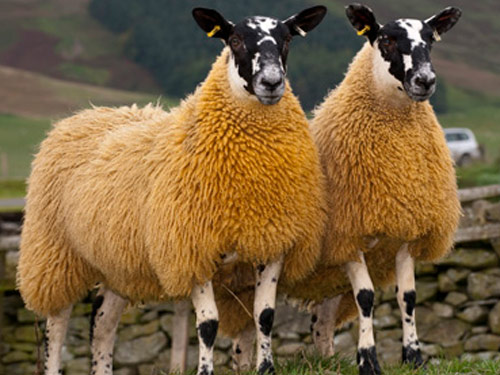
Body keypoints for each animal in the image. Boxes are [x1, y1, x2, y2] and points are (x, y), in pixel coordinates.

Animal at [16, 5, 328, 375]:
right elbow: (207, 324)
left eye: (288, 39)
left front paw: (265, 368)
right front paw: (205, 370)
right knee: (57, 324)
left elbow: (264, 316)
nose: (271, 82)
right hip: (54, 254)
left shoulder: (272, 243)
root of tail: (79, 116)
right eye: (235, 40)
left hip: (116, 264)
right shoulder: (190, 248)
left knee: (102, 325)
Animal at [217, 3, 462, 375]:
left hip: (323, 284)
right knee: (247, 328)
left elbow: (408, 297)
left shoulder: (407, 231)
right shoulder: (348, 236)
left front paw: (413, 357)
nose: (425, 80)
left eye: (430, 41)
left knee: (320, 323)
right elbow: (367, 297)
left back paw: (325, 360)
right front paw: (368, 360)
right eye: (386, 40)